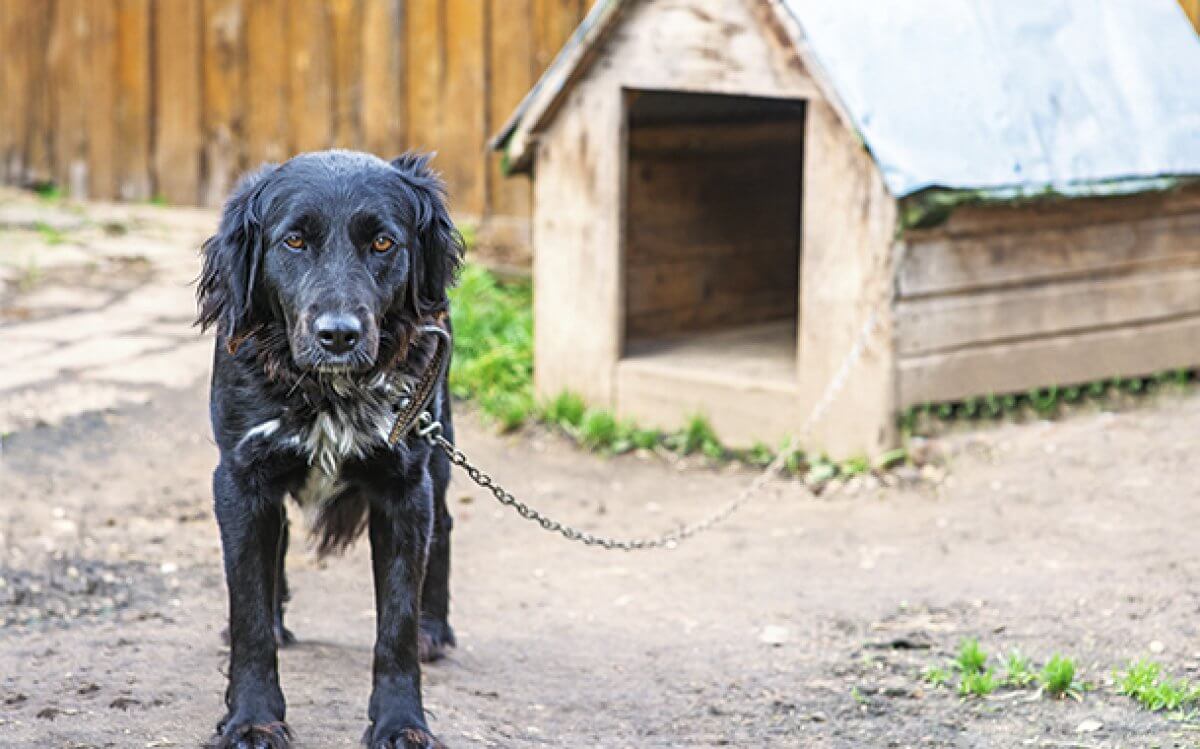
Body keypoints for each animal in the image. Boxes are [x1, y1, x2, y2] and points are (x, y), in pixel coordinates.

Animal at [194, 149, 460, 744]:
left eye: (383, 243)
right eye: (294, 240)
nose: (337, 335)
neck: (327, 392)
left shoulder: (406, 486)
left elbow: (397, 624)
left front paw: (401, 722)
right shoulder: (240, 479)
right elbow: (248, 613)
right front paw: (253, 717)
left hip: (441, 446)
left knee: (446, 528)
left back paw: (435, 629)